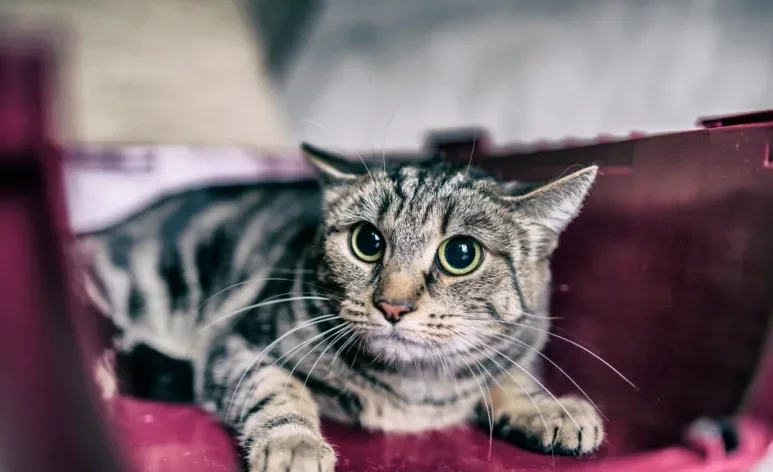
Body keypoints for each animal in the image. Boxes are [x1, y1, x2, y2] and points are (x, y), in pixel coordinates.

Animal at [77, 145, 604, 472]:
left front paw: (547, 407)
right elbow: (276, 389)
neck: (414, 389)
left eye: (460, 254)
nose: (393, 305)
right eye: (367, 242)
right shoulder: (240, 345)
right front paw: (294, 442)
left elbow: (509, 377)